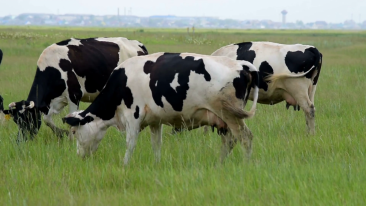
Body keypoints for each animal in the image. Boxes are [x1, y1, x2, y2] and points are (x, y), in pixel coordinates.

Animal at [2, 36, 149, 142]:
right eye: (16, 121)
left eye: (28, 119)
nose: (20, 141)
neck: (52, 67)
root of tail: (138, 44)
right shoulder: (53, 102)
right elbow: (47, 120)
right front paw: (62, 134)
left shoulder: (74, 95)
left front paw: (71, 139)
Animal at [61, 52, 258, 166]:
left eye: (74, 131)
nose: (79, 156)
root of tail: (241, 65)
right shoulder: (155, 121)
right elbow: (156, 144)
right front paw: (156, 164)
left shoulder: (133, 116)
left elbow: (130, 144)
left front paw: (124, 165)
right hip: (223, 120)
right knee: (229, 141)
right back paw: (219, 164)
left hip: (231, 115)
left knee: (245, 138)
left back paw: (246, 165)